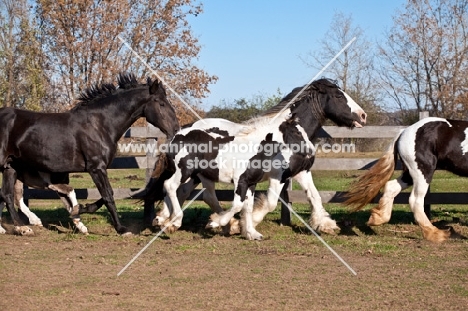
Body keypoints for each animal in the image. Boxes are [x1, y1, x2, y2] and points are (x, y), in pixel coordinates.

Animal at [0, 73, 179, 236]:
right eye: (161, 103)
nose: (176, 129)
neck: (99, 124)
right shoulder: (96, 168)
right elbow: (108, 195)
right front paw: (121, 229)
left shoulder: (97, 169)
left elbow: (105, 196)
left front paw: (78, 211)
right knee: (7, 195)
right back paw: (21, 227)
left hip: (10, 167)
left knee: (7, 195)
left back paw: (21, 227)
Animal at [144, 79, 368, 240]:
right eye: (339, 95)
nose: (363, 116)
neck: (288, 134)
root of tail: (180, 132)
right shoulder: (278, 175)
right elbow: (269, 203)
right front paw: (246, 222)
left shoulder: (301, 172)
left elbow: (314, 196)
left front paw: (326, 225)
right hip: (187, 171)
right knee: (172, 187)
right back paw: (178, 221)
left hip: (200, 174)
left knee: (194, 193)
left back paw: (165, 220)